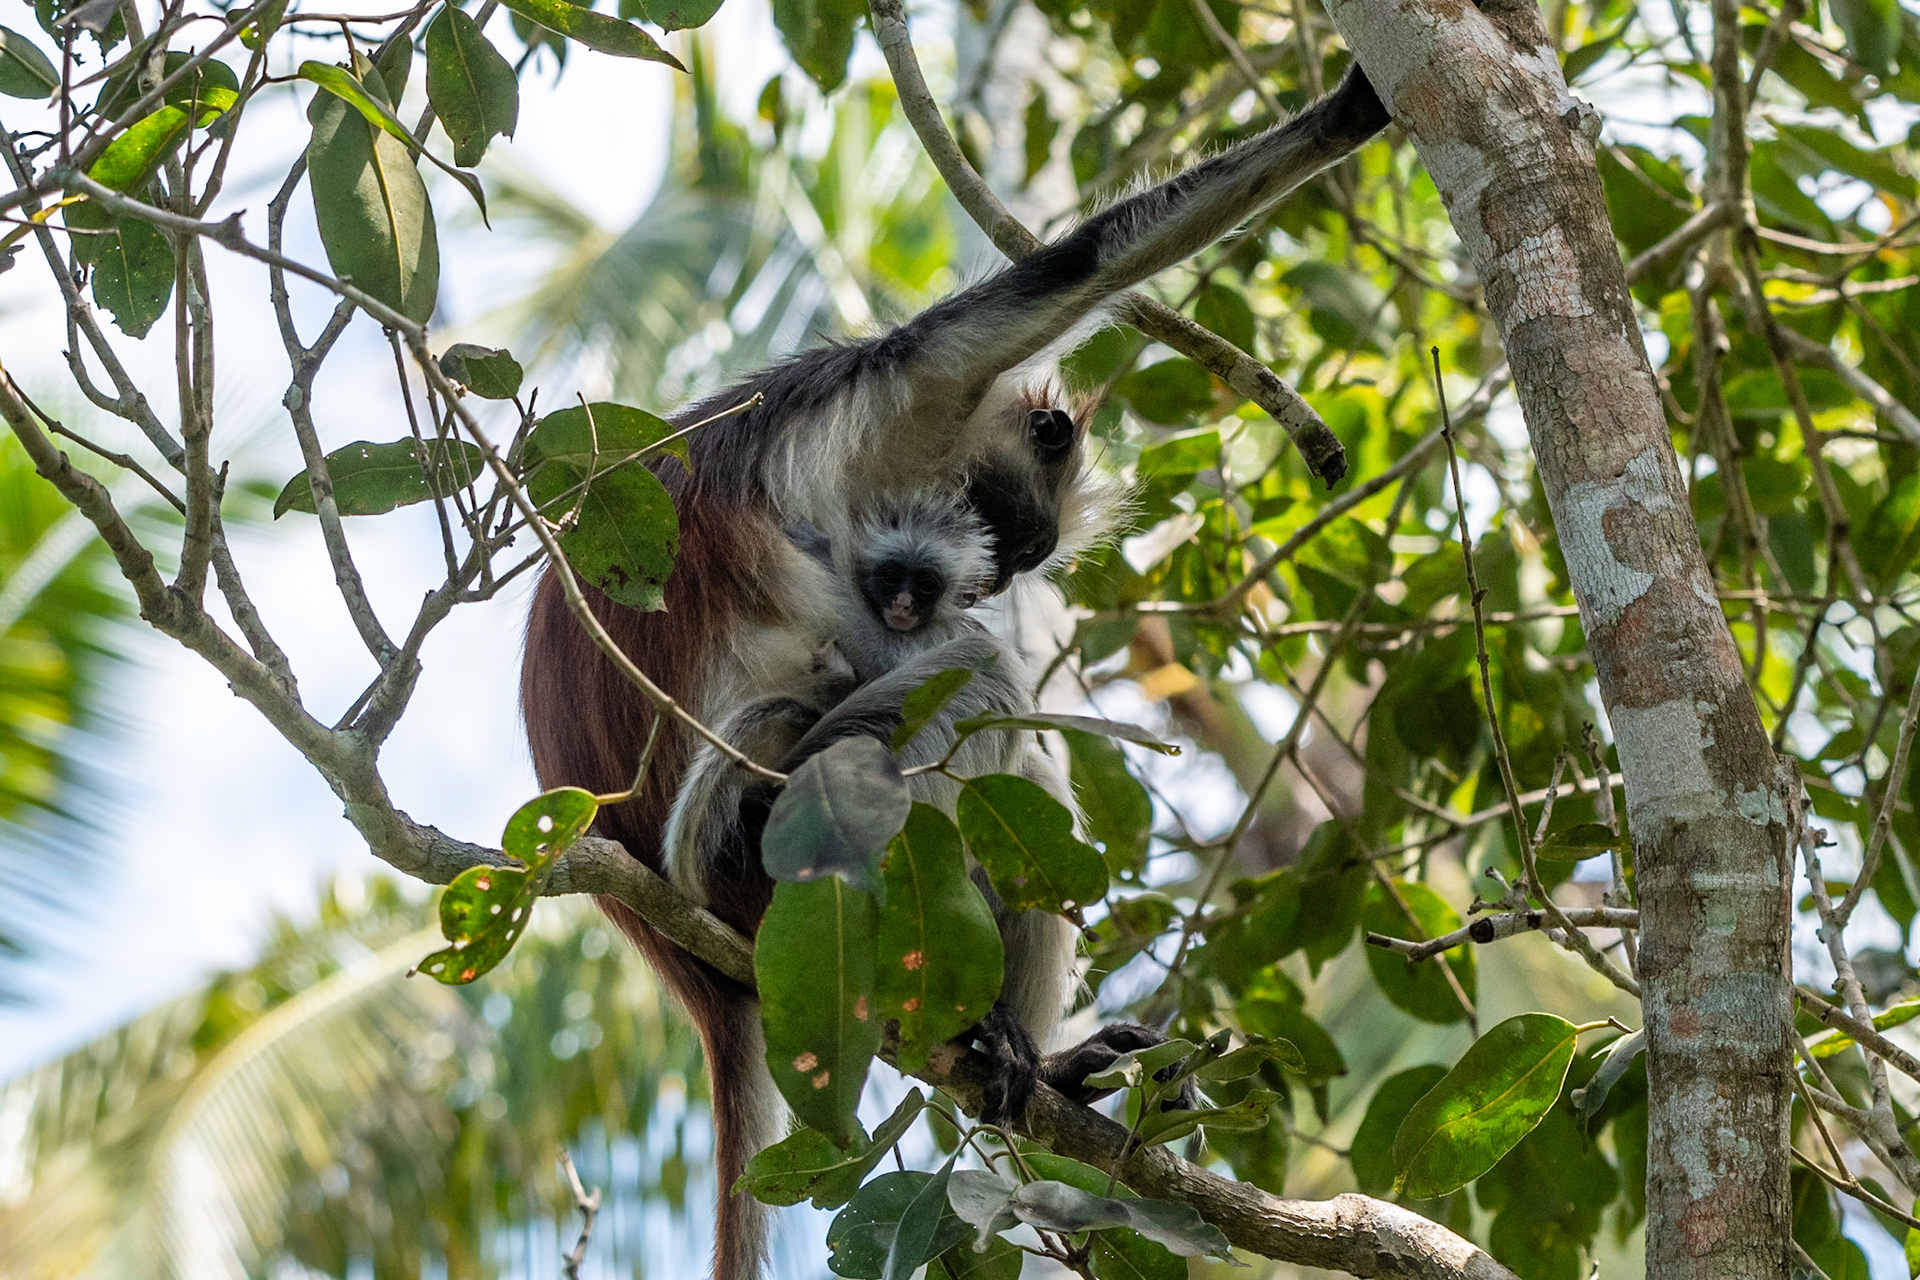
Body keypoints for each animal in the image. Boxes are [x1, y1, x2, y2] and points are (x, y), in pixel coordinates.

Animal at [521, 64, 1388, 1280]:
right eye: (1004, 537)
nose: (981, 588)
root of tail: (687, 958)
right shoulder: (888, 396)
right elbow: (1077, 269)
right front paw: (1352, 109)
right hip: (760, 863)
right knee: (968, 698)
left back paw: (1043, 1063)